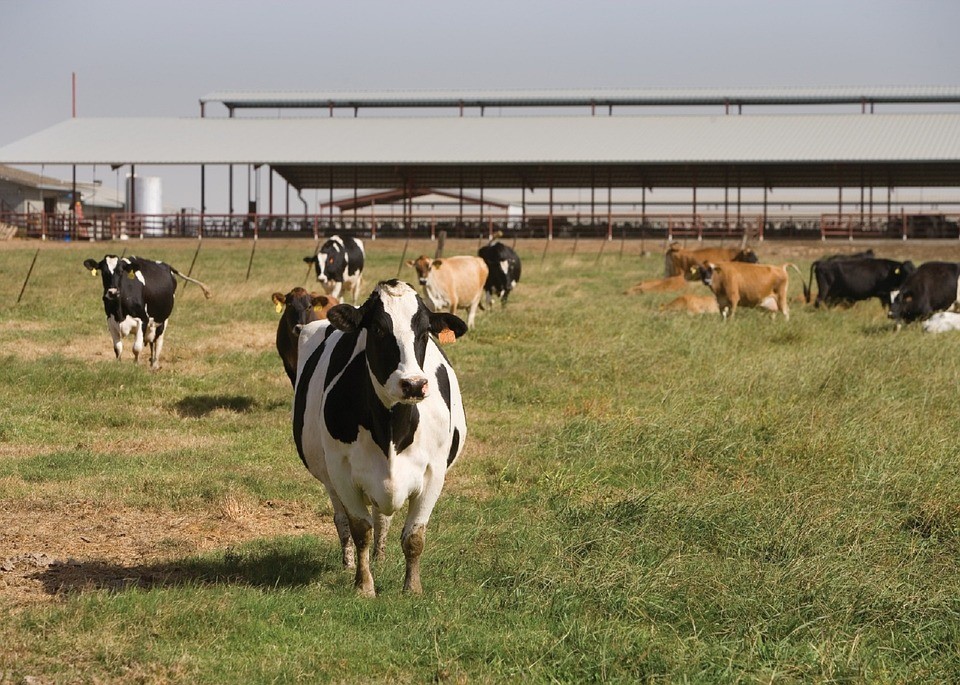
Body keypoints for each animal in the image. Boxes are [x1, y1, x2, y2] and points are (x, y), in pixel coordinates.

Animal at [83, 255, 211, 369]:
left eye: (120, 271)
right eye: (103, 272)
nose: (112, 292)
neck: (120, 312)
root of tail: (166, 265)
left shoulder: (142, 320)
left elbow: (136, 348)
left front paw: (136, 364)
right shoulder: (111, 321)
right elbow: (118, 348)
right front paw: (118, 365)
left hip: (163, 320)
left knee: (158, 342)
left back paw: (155, 365)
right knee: (151, 341)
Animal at [293, 280, 468, 596]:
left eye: (424, 332)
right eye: (377, 329)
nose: (413, 384)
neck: (391, 431)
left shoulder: (434, 474)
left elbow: (414, 536)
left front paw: (412, 587)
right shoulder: (342, 473)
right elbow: (360, 529)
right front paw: (363, 585)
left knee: (382, 518)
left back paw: (381, 556)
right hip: (328, 476)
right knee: (342, 519)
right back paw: (348, 561)